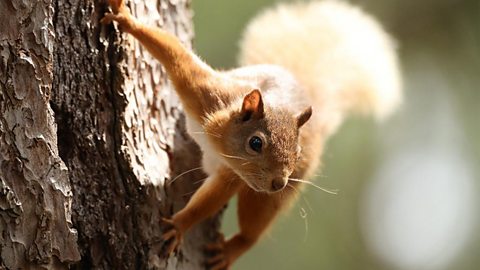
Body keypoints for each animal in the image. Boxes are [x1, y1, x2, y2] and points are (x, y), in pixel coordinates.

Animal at [101, 1, 402, 268]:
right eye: (255, 143)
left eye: (297, 152)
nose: (279, 183)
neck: (218, 140)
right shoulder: (204, 91)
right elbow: (173, 53)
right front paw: (125, 18)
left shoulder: (233, 173)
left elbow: (211, 200)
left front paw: (179, 225)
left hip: (265, 197)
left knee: (252, 230)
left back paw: (232, 249)